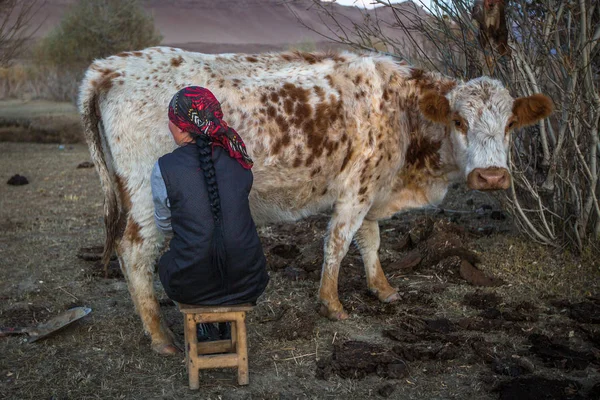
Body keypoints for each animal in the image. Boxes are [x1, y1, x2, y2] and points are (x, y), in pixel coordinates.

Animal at [79, 48, 552, 354]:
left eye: (510, 123)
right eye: (458, 120)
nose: (491, 175)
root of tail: (109, 67)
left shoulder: (372, 187)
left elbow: (370, 241)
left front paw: (383, 288)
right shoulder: (356, 187)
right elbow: (339, 241)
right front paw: (332, 303)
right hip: (145, 195)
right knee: (133, 252)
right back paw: (160, 336)